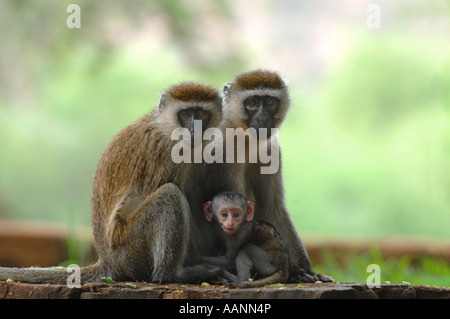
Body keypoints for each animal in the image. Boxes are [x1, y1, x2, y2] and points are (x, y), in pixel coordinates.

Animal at [0, 82, 227, 284]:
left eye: (202, 114)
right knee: (170, 194)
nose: (194, 128)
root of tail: (109, 261)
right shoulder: (165, 154)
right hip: (131, 249)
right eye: (186, 114)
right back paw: (171, 274)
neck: (167, 128)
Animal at [214, 69, 330, 282]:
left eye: (269, 102)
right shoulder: (223, 149)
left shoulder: (272, 149)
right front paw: (292, 272)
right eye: (252, 102)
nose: (262, 120)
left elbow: (271, 209)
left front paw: (303, 269)